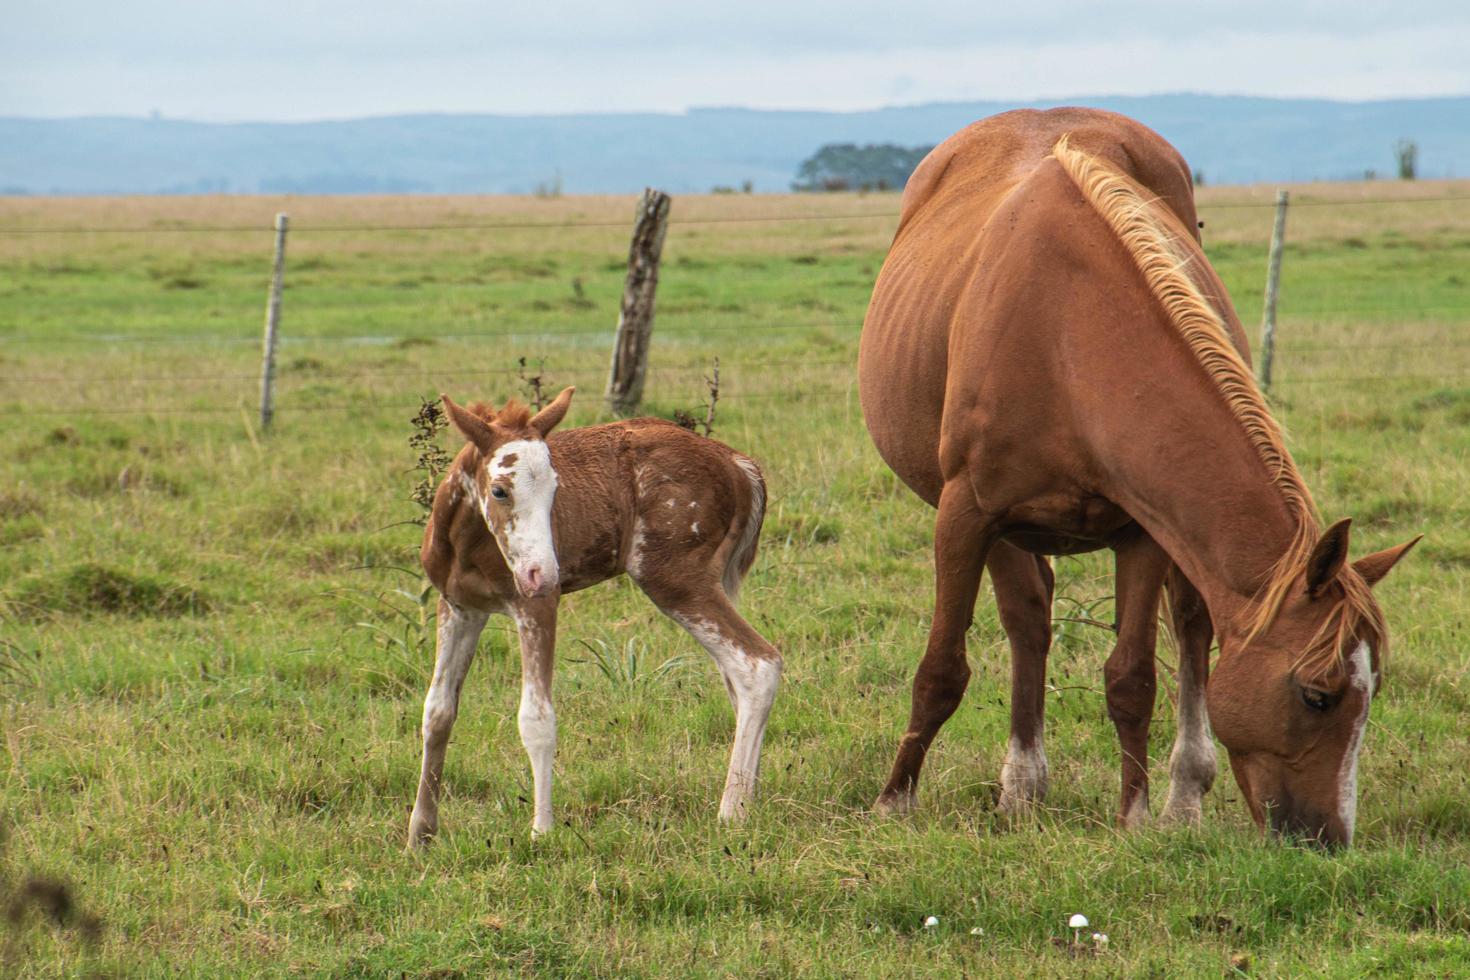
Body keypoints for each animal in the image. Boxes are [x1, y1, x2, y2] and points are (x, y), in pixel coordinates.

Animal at [405, 387, 782, 846]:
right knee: (735, 675)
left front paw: (542, 832)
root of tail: (742, 467)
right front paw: (420, 834)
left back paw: (733, 810)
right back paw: (751, 797)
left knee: (758, 663)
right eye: (499, 491)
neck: (466, 544)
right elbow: (437, 712)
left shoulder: (536, 605)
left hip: (674, 577)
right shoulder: (459, 607)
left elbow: (536, 719)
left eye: (555, 490)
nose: (543, 572)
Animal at [858, 105, 1417, 846]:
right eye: (1317, 695)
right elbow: (941, 669)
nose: (1327, 840)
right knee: (1027, 621)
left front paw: (1136, 813)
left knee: (1184, 627)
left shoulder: (1143, 531)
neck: (1066, 335)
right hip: (998, 525)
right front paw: (894, 800)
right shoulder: (965, 515)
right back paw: (1021, 787)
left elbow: (1132, 678)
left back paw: (1178, 792)